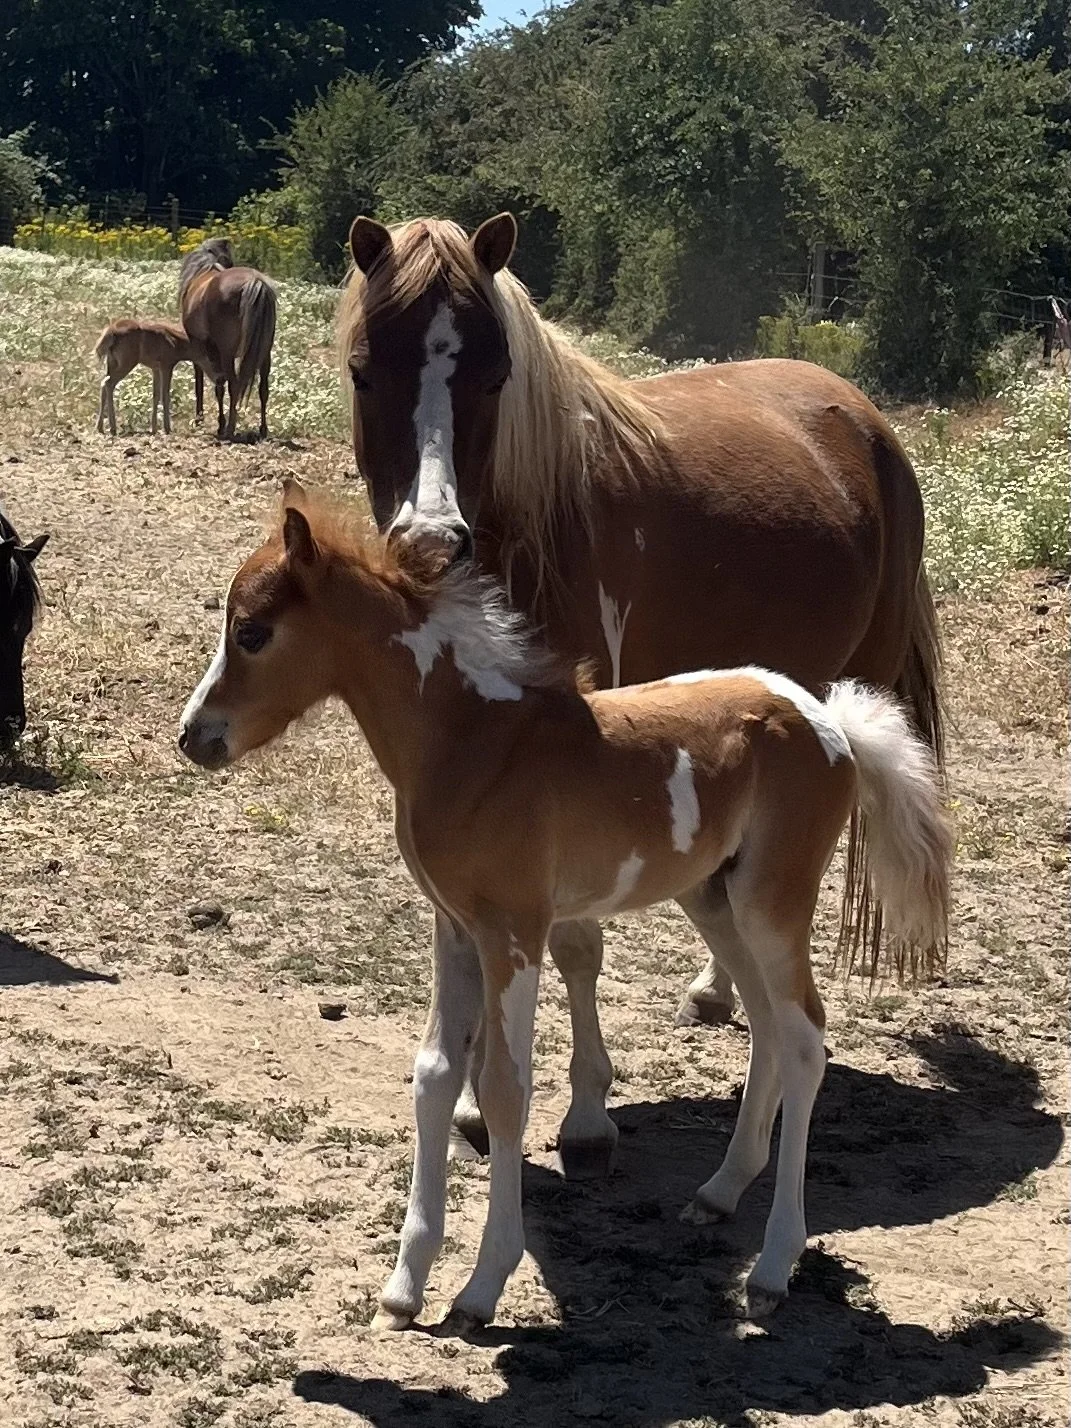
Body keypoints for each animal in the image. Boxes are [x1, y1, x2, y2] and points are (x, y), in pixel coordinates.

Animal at [177, 484, 953, 1332]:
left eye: (252, 631)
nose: (194, 737)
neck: (472, 740)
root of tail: (830, 722)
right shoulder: (454, 927)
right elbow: (435, 1075)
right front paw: (403, 1287)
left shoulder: (514, 930)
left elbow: (504, 1088)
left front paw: (480, 1286)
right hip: (713, 897)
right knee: (766, 1024)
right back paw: (718, 1193)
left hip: (771, 900)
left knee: (806, 1039)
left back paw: (773, 1267)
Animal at [178, 237, 276, 441]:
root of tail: (254, 283)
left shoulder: (202, 350)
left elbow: (209, 384)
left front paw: (207, 421)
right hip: (265, 353)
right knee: (263, 389)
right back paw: (262, 430)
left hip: (227, 353)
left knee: (234, 384)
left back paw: (230, 428)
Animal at [334, 212, 946, 1181]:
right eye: (365, 369)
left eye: (494, 376)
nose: (431, 541)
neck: (533, 534)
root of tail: (859, 413)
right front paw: (471, 1101)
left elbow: (575, 941)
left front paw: (587, 1112)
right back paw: (717, 989)